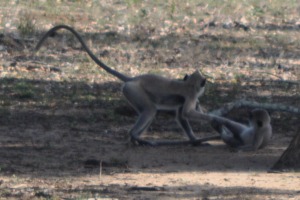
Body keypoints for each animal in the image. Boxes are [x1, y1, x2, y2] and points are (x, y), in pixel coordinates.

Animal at [34, 25, 220, 147]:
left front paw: (196, 140)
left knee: (149, 112)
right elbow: (187, 113)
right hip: (134, 91)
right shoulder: (191, 95)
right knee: (150, 110)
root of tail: (133, 79)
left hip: (131, 93)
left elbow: (182, 116)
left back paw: (136, 139)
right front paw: (215, 120)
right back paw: (136, 137)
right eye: (202, 85)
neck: (188, 83)